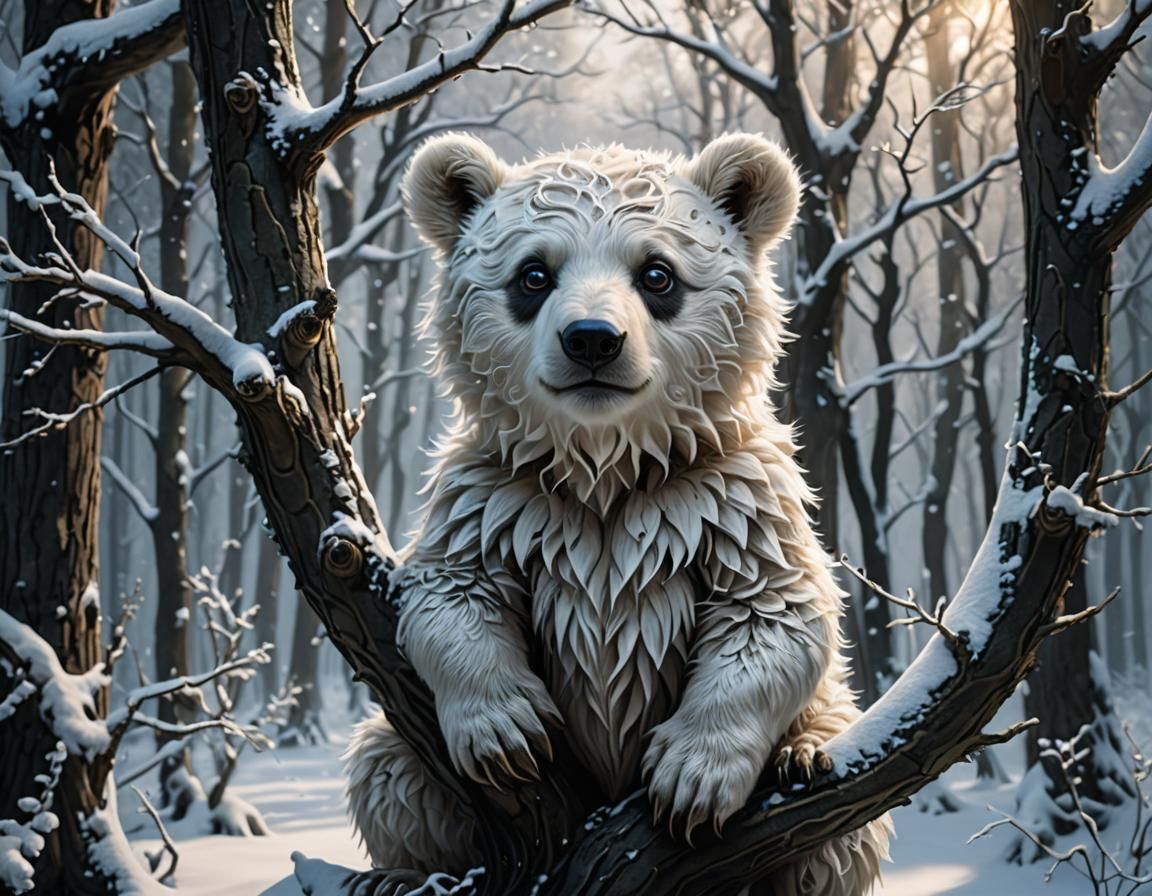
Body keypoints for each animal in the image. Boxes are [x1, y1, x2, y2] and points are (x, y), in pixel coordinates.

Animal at [344, 132, 892, 894]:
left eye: (657, 274)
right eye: (533, 274)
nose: (592, 339)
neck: (606, 465)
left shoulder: (727, 497)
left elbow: (775, 614)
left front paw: (691, 777)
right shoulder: (497, 494)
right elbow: (449, 597)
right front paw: (507, 730)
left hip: (833, 739)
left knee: (837, 835)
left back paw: (802, 759)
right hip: (403, 759)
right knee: (389, 773)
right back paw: (402, 875)